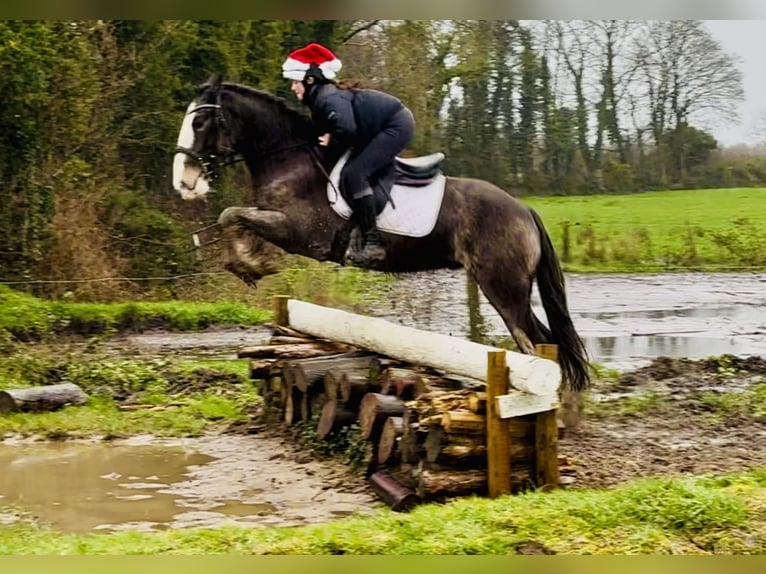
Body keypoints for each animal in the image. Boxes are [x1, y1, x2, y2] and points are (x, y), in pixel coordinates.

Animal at [172, 76, 591, 392]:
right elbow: (233, 218)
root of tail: (524, 210)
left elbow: (230, 214)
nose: (184, 183)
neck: (289, 155)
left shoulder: (299, 232)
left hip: (504, 288)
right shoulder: (271, 217)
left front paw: (251, 264)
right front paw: (250, 262)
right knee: (548, 343)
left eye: (199, 124)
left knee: (534, 345)